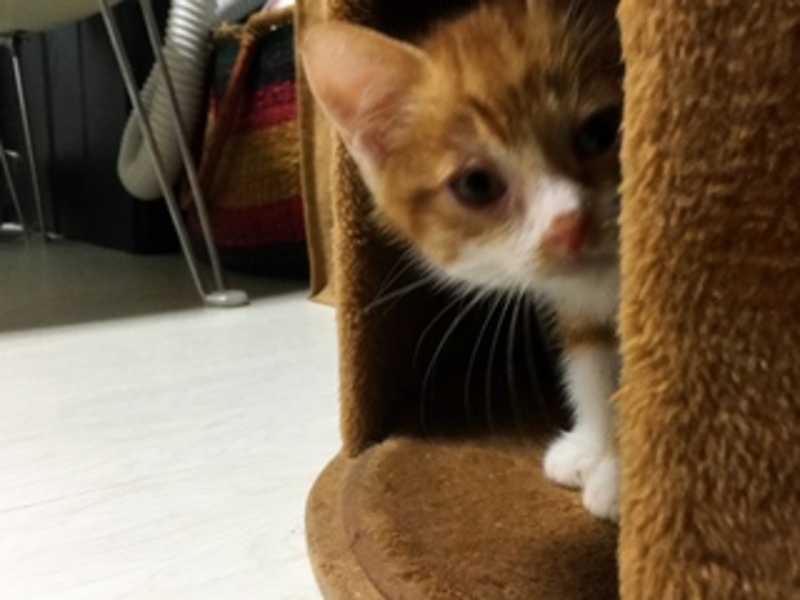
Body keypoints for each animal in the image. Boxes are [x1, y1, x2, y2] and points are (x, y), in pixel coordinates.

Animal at [302, 0, 623, 521]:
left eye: (600, 132)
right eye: (476, 185)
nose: (568, 225)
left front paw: (622, 477)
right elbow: (592, 359)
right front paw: (593, 446)